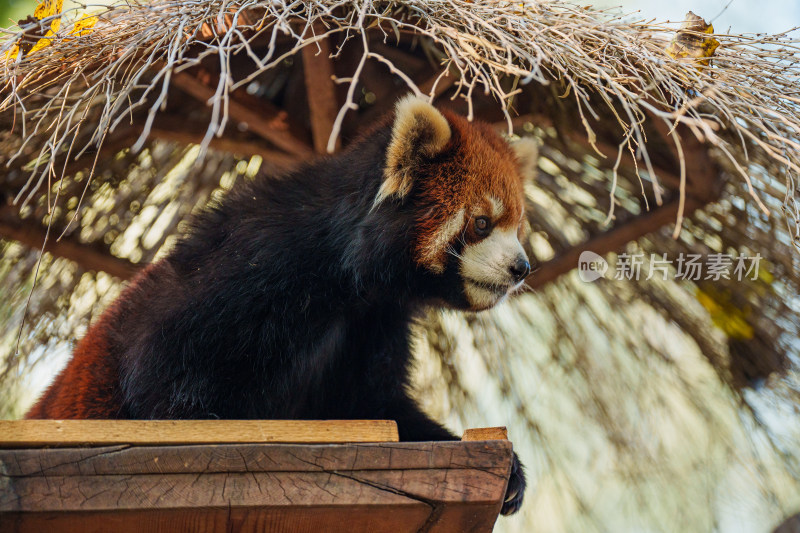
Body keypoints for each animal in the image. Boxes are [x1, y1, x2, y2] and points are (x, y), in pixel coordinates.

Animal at [26, 95, 536, 516]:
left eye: (517, 227)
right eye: (482, 223)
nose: (522, 267)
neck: (346, 279)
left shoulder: (372, 320)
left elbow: (375, 404)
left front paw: (509, 469)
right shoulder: (252, 264)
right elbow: (161, 380)